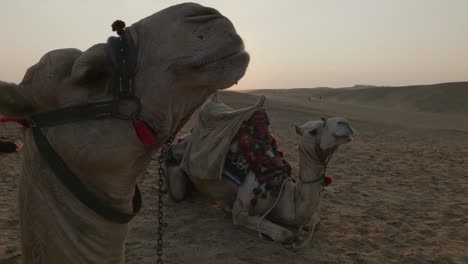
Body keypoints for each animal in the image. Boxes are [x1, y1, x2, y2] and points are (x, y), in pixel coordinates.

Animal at [166, 96, 352, 245]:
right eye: (313, 131)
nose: (345, 123)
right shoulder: (242, 210)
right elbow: (285, 234)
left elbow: (316, 222)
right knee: (178, 190)